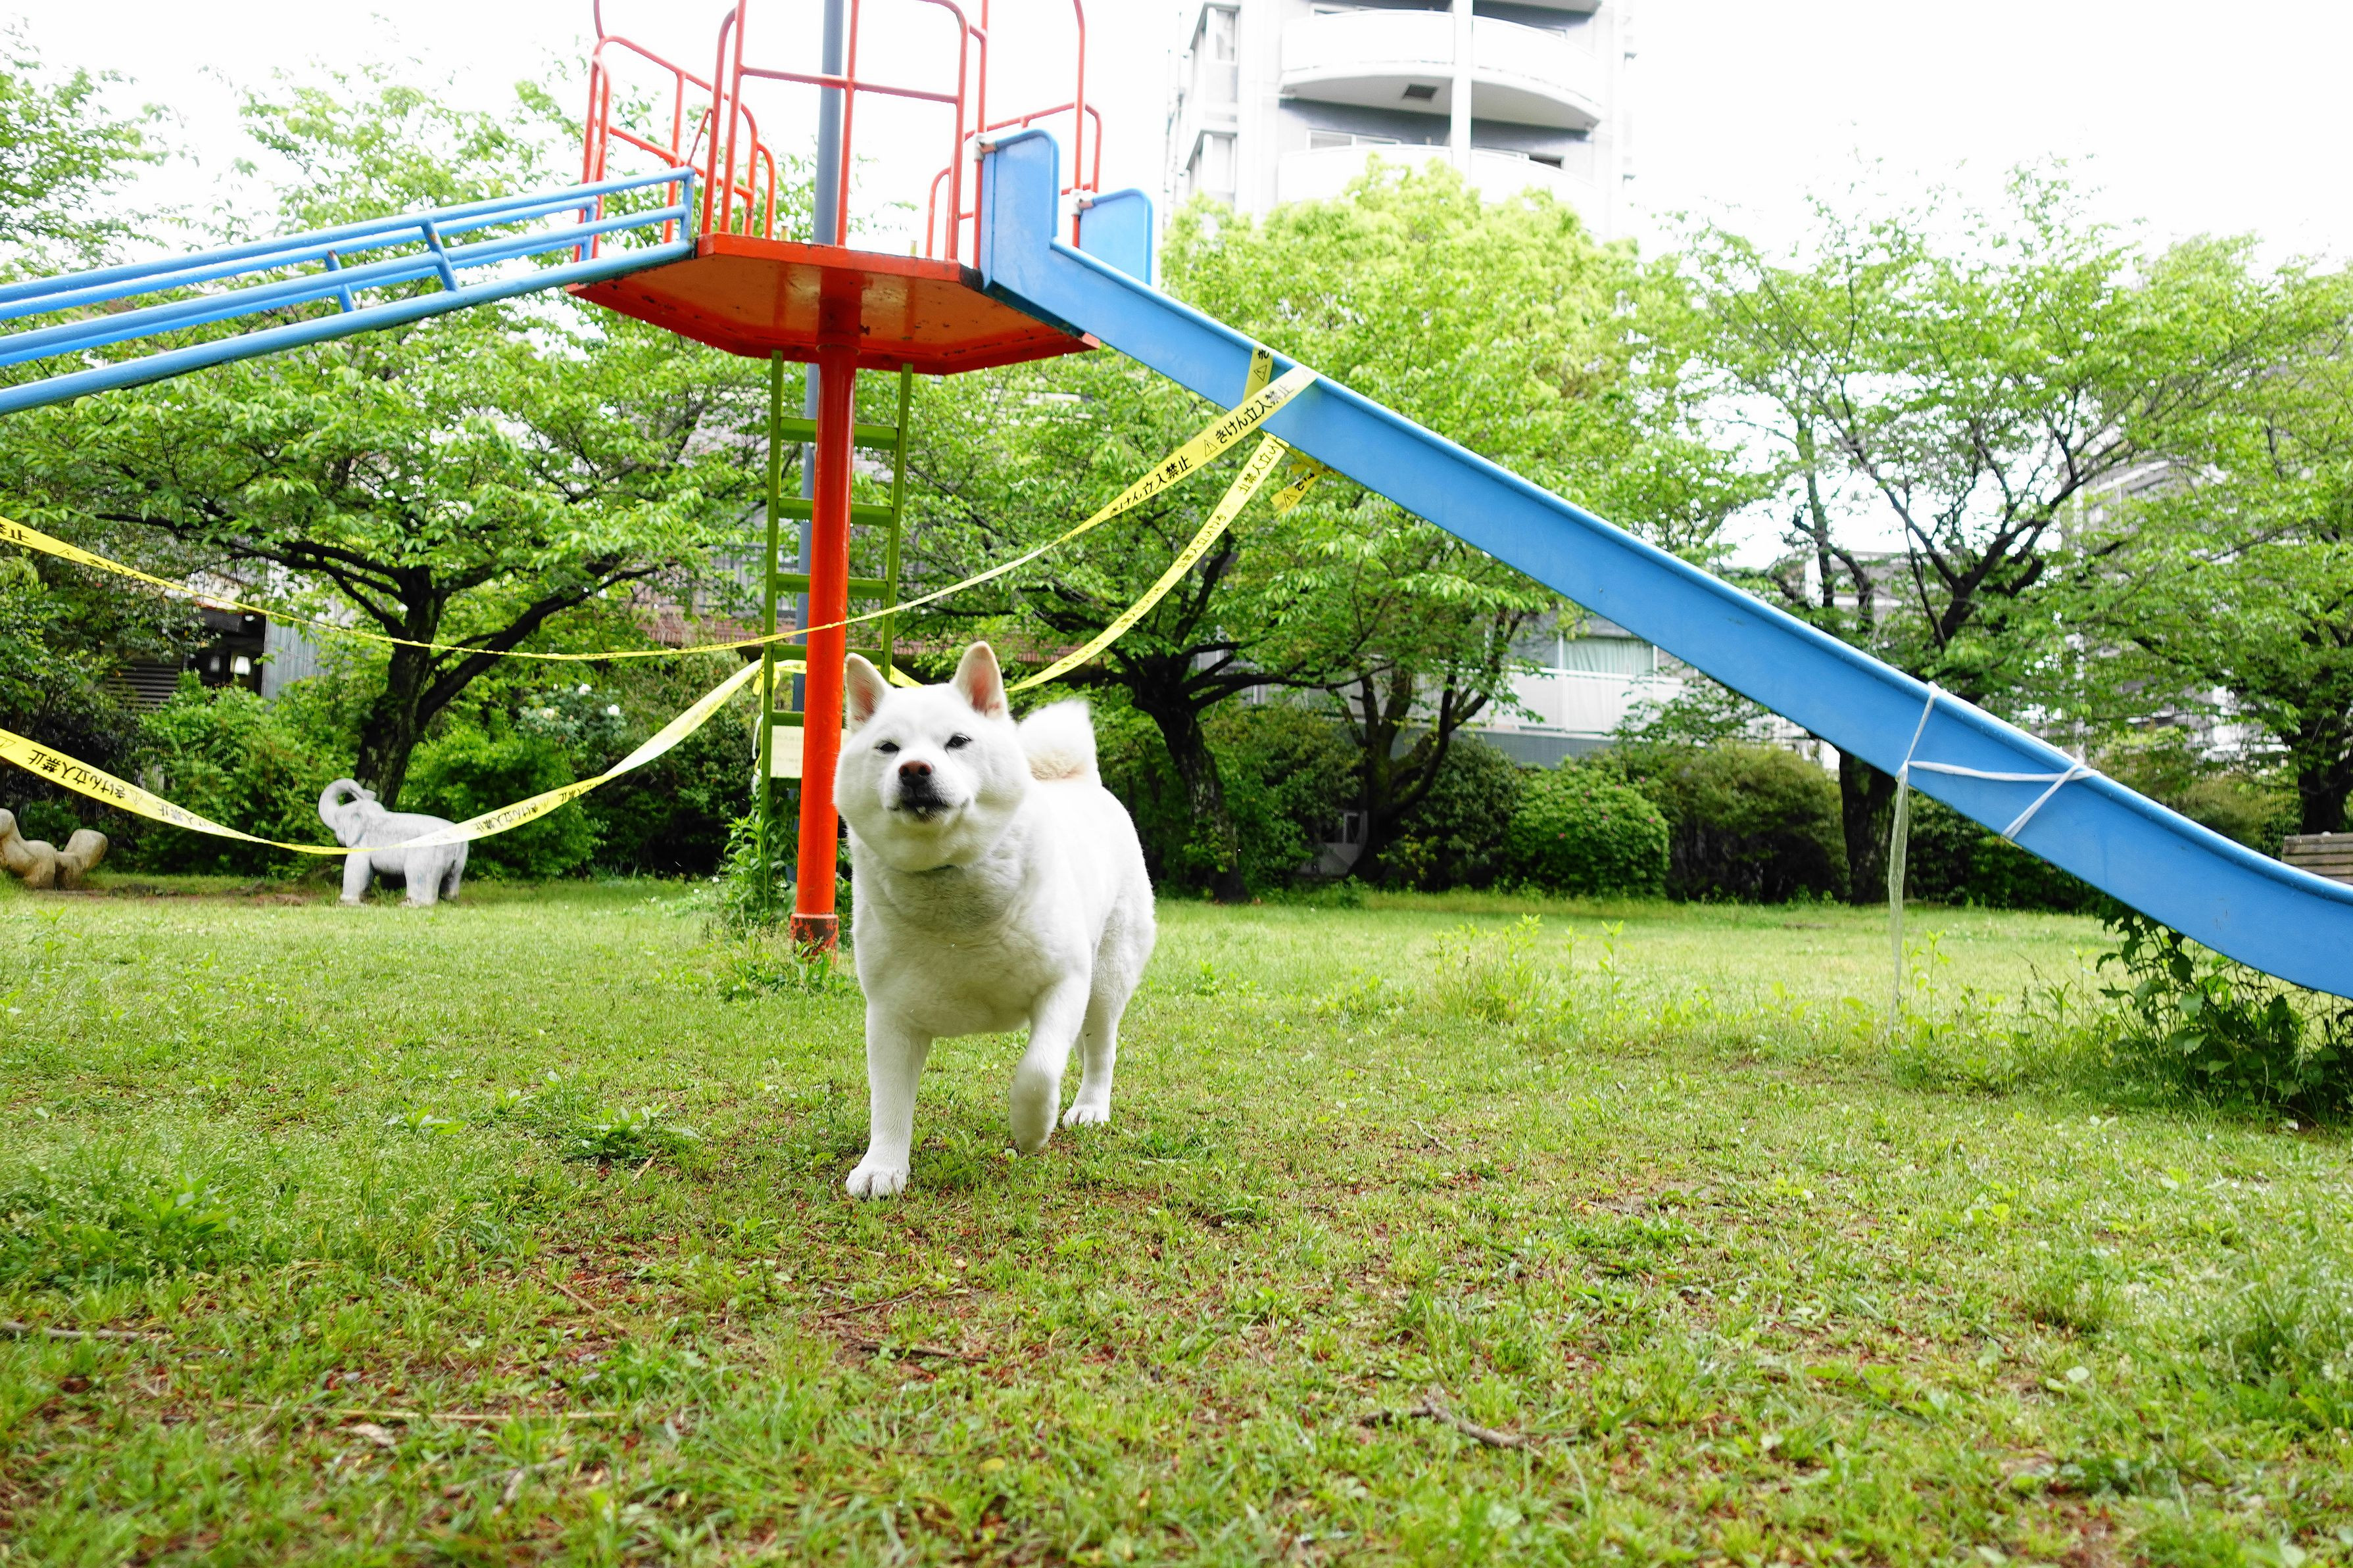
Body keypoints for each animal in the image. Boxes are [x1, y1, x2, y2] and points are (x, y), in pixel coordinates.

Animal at [833, 643, 1155, 1198]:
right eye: (887, 747)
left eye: (958, 741)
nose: (914, 769)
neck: (955, 906)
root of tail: (1078, 779)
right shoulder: (890, 1015)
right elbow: (888, 1102)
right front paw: (882, 1166)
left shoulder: (1064, 983)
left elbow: (1039, 1070)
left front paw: (1031, 1128)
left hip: (1105, 980)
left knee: (1100, 1048)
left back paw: (1089, 1107)